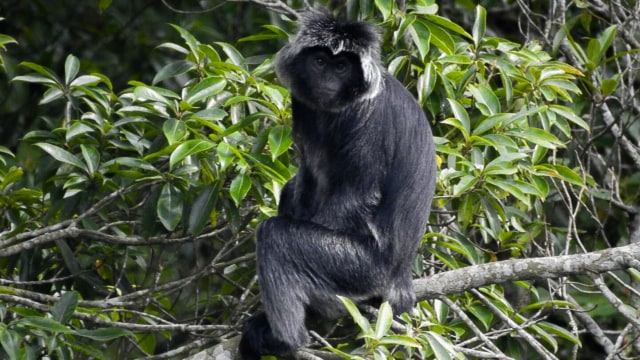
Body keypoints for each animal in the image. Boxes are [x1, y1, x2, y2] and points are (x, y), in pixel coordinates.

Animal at [238, 11, 438, 360]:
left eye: (342, 67)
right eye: (320, 62)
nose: (327, 80)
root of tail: (401, 283)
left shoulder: (364, 114)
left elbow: (357, 194)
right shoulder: (304, 104)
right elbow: (310, 176)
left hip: (362, 269)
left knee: (275, 235)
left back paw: (286, 340)